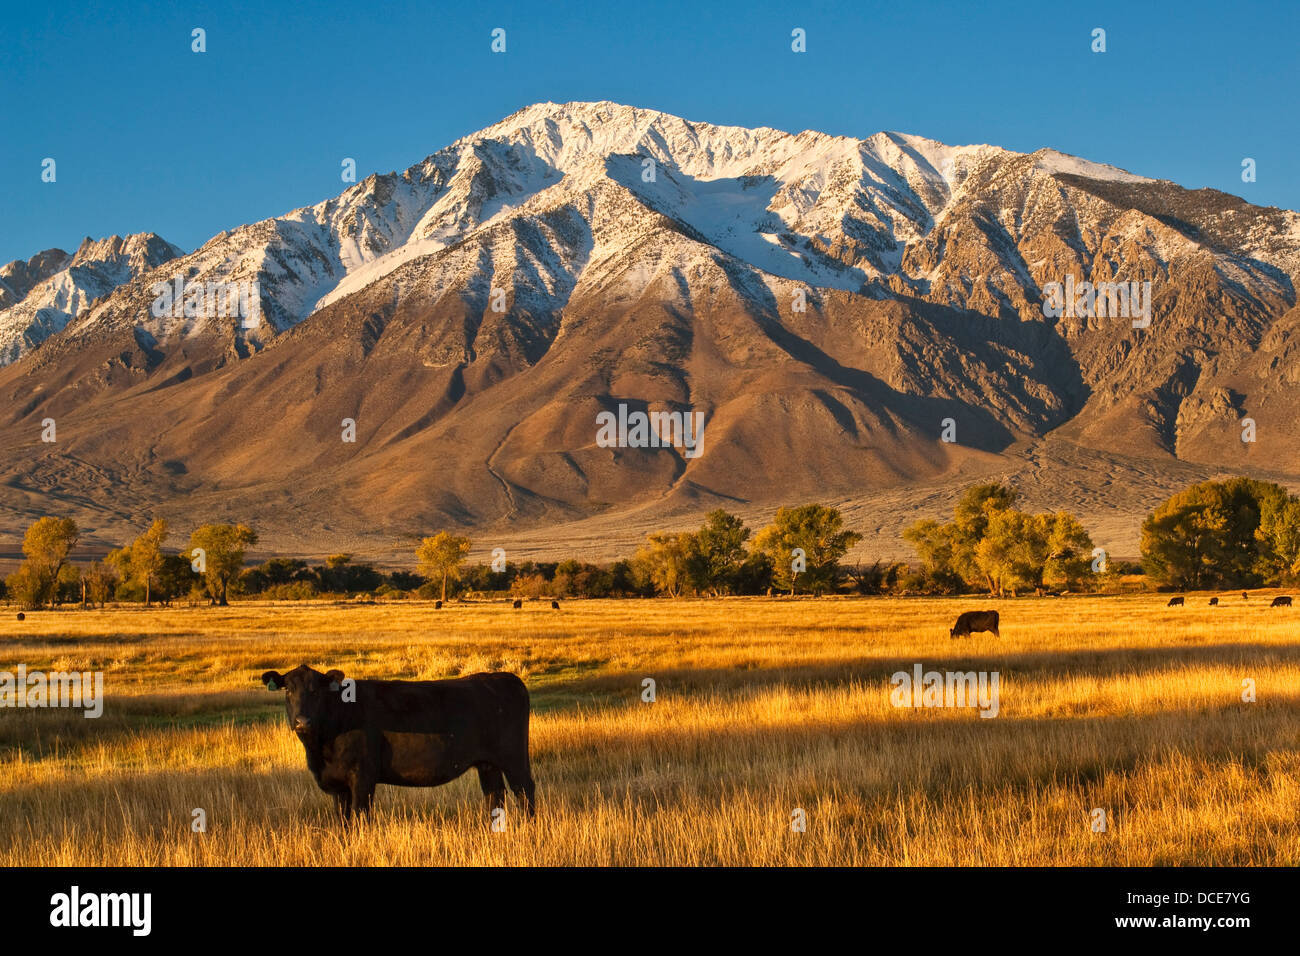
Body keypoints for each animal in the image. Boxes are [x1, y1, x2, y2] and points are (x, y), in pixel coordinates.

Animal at [258, 665, 533, 822]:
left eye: (316, 691)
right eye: (288, 690)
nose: (302, 721)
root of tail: (503, 678)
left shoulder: (363, 778)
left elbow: (360, 818)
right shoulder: (338, 786)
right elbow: (343, 823)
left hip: (514, 758)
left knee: (524, 791)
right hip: (488, 764)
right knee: (495, 795)